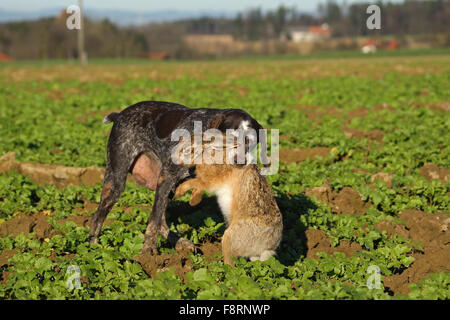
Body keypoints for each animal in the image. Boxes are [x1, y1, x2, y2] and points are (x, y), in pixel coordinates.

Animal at [89, 100, 264, 255]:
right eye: (230, 139)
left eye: (251, 142)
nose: (241, 161)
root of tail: (119, 115)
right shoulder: (167, 177)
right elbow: (154, 220)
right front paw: (148, 251)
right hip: (116, 181)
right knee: (98, 216)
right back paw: (93, 247)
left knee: (160, 219)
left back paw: (180, 242)